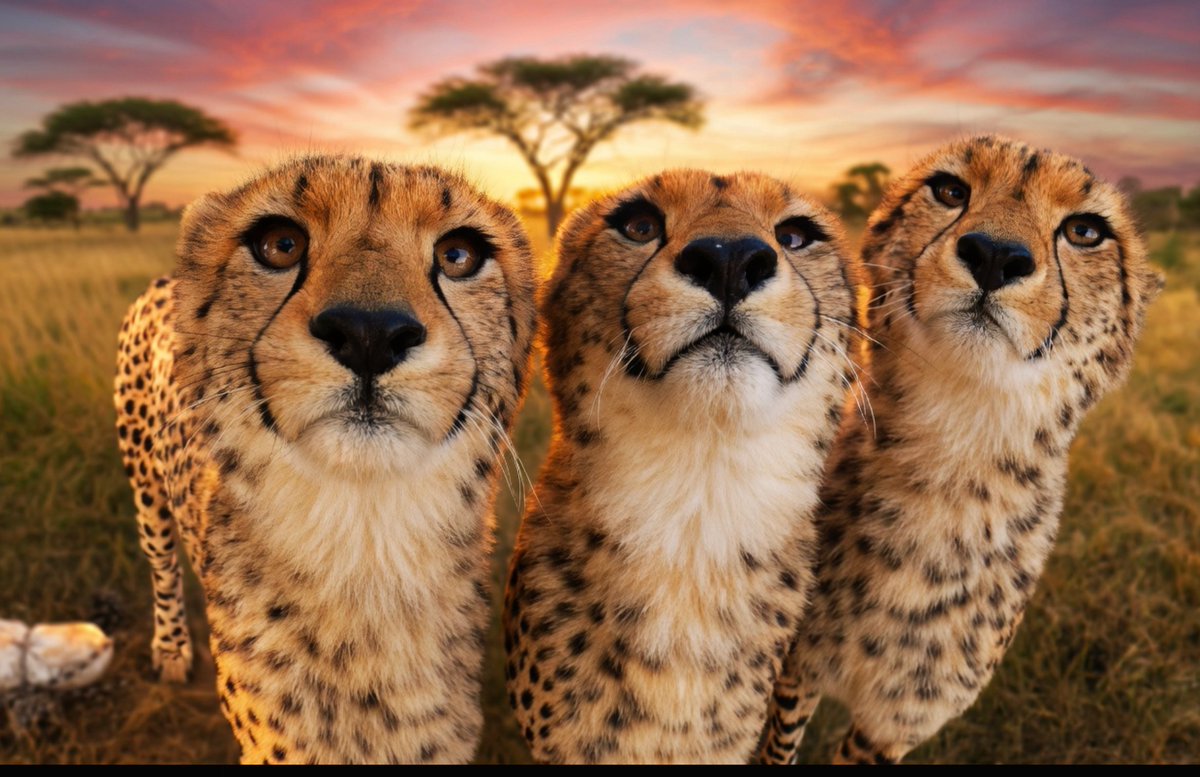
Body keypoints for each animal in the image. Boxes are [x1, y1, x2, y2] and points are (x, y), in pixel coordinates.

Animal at [113, 156, 536, 763]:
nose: (370, 333)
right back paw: (171, 649)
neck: (365, 541)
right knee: (161, 559)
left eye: (459, 254)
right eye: (280, 244)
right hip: (144, 480)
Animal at [758, 135, 1163, 764]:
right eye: (950, 191)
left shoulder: (891, 724)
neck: (949, 460)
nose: (995, 255)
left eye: (1085, 231)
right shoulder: (789, 673)